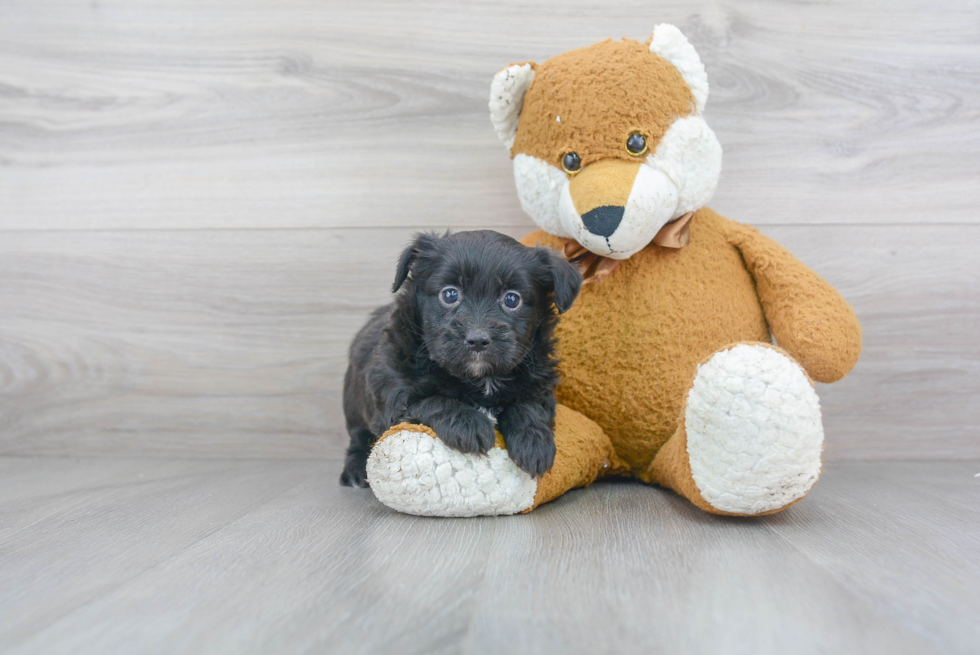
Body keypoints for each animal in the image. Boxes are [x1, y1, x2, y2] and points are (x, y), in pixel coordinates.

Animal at [340, 231, 580, 486]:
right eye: (450, 294)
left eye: (512, 300)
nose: (478, 340)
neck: (481, 379)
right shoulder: (395, 393)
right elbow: (431, 401)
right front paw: (469, 424)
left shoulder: (539, 382)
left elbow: (529, 405)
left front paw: (534, 442)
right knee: (357, 438)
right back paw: (356, 470)